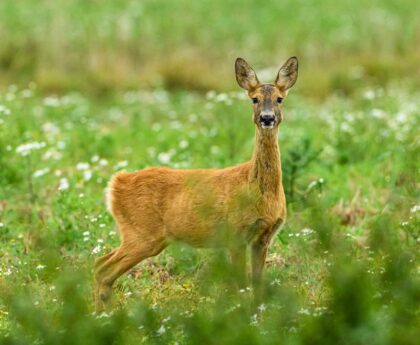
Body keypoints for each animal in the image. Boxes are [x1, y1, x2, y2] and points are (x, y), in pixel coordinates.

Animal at [95, 56, 298, 310]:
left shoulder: (263, 238)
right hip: (141, 234)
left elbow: (257, 286)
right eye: (255, 99)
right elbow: (241, 285)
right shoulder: (235, 233)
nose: (267, 118)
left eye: (280, 99)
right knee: (102, 269)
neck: (259, 192)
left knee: (99, 264)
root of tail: (116, 183)